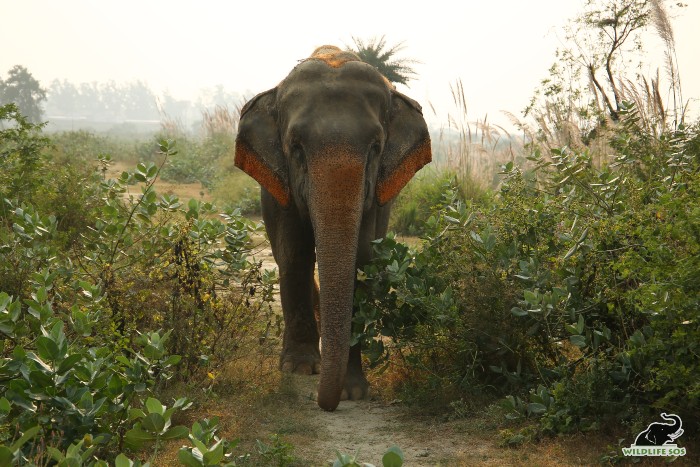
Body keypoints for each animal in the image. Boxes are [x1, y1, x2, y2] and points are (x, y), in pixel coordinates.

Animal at [235, 45, 432, 412]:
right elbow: (295, 253)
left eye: (376, 148)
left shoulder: (376, 197)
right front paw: (299, 369)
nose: (324, 403)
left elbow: (362, 260)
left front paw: (353, 392)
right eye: (296, 148)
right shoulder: (282, 188)